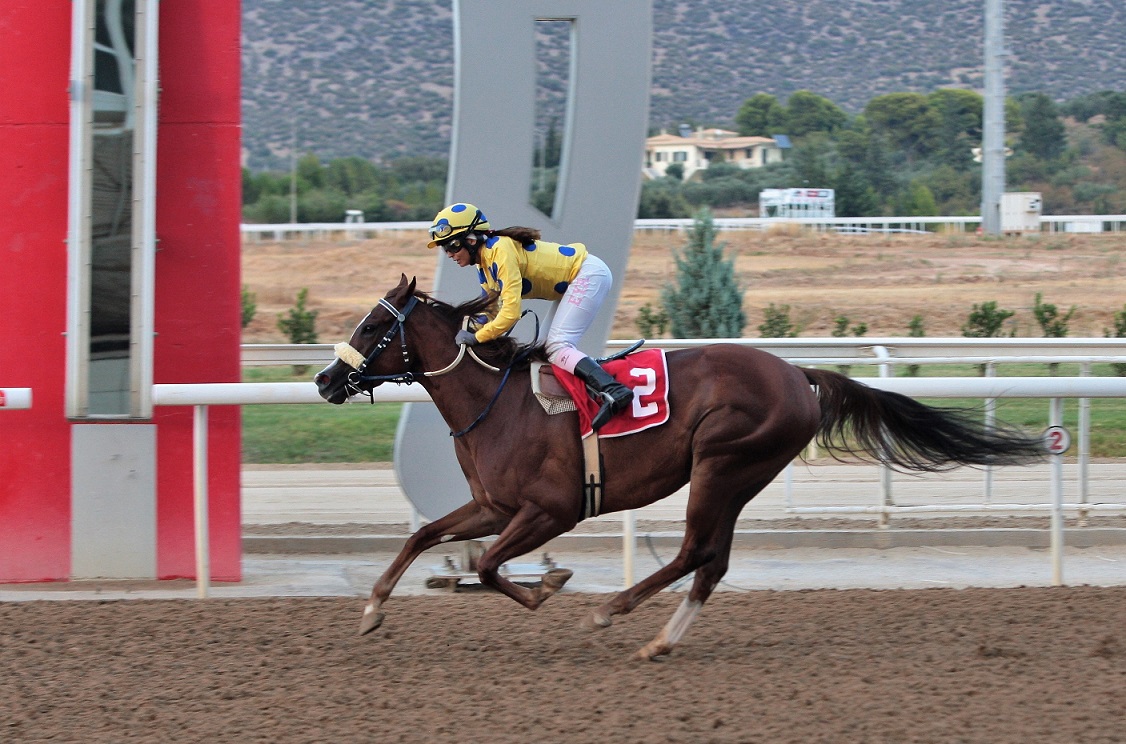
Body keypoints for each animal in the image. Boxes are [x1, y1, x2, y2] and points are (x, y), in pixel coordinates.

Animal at [313, 275, 1040, 657]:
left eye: (373, 326)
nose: (323, 381)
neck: (499, 402)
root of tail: (798, 375)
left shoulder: (552, 509)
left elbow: (491, 566)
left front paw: (545, 591)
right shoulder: (495, 504)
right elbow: (424, 534)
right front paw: (372, 611)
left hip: (721, 461)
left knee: (695, 550)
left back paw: (613, 612)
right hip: (741, 475)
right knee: (713, 562)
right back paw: (660, 639)